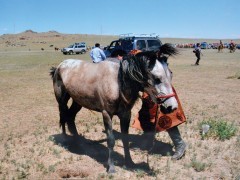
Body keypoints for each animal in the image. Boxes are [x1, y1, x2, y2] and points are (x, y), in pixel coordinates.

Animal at [49, 43, 179, 173]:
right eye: (157, 78)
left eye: (171, 74)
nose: (171, 107)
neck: (118, 82)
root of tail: (60, 66)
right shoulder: (106, 114)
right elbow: (111, 140)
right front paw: (111, 167)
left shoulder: (126, 114)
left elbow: (125, 138)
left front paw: (129, 162)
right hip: (62, 100)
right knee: (63, 116)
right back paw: (65, 140)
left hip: (78, 101)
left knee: (70, 117)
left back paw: (80, 144)